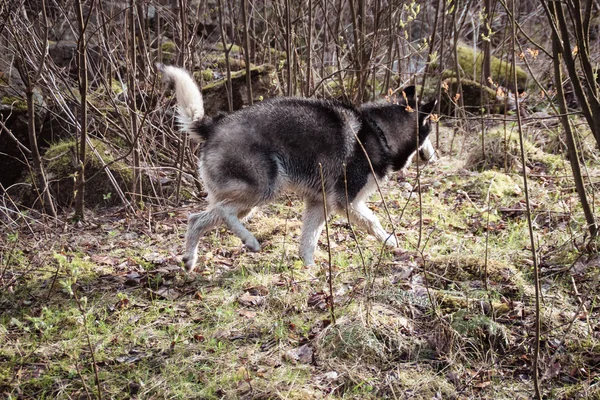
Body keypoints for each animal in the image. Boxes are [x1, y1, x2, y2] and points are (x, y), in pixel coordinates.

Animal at [158, 65, 436, 272]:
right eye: (430, 130)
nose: (434, 157)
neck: (380, 132)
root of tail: (212, 125)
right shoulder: (345, 201)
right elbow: (373, 222)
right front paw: (391, 242)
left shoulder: (319, 203)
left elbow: (309, 241)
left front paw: (310, 268)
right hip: (264, 190)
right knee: (224, 213)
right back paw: (250, 241)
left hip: (246, 202)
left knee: (196, 219)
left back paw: (190, 260)